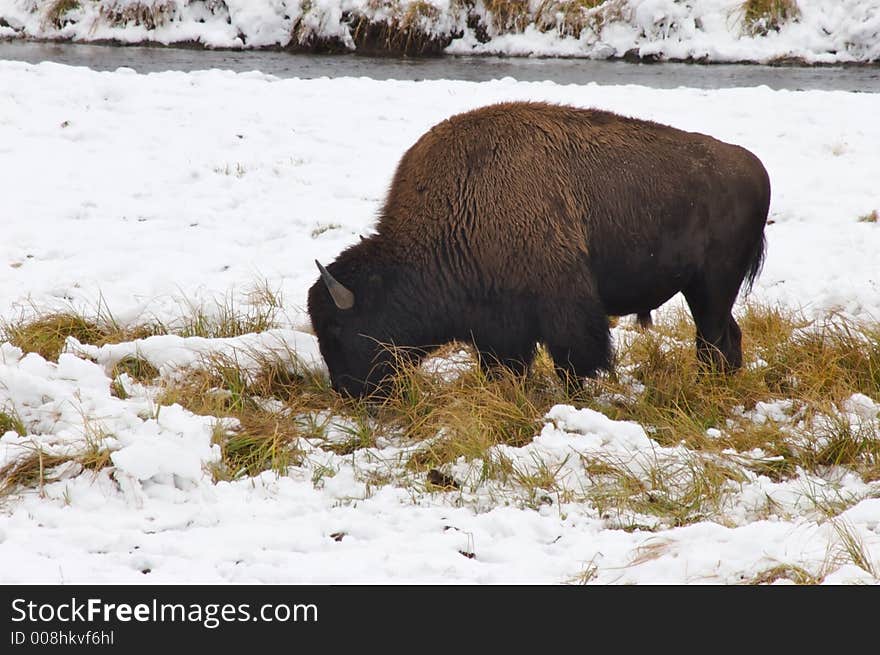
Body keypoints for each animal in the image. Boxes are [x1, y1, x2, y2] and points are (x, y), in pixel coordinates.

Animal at [310, 101, 768, 400]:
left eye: (337, 329)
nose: (346, 391)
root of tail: (753, 166)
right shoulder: (497, 328)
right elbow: (505, 365)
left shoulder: (564, 308)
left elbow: (575, 361)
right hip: (703, 291)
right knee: (727, 337)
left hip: (712, 286)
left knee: (713, 341)